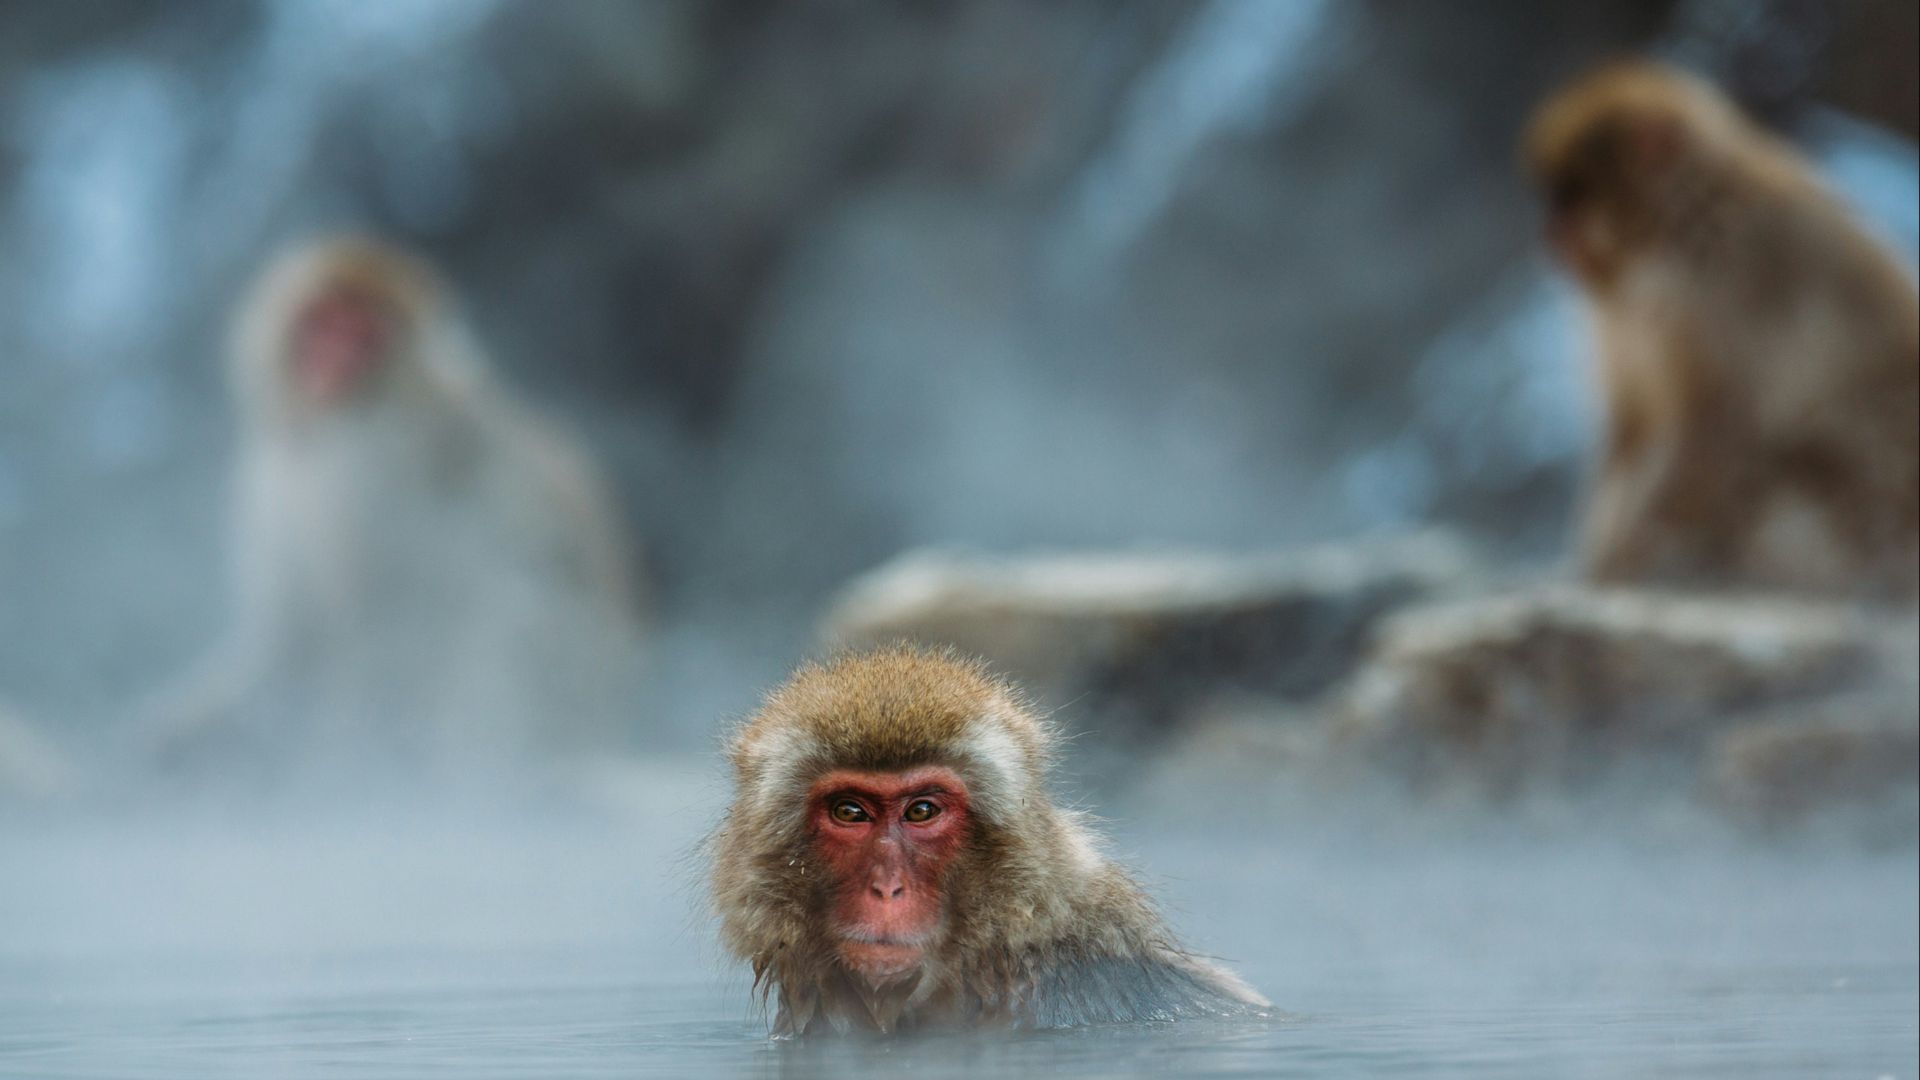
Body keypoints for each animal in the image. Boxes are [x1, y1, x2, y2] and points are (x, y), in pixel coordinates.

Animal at [137, 236, 644, 777]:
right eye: (323, 321)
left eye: (365, 335)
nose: (331, 364)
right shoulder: (271, 473)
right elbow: (293, 643)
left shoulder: (371, 470)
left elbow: (379, 624)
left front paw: (340, 758)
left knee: (506, 611)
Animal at [1523, 61, 1920, 598]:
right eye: (1556, 196)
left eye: (1573, 194)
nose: (1550, 231)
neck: (1676, 228)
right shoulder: (1622, 318)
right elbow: (1632, 429)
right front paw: (1598, 562)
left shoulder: (1727, 288)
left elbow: (1718, 430)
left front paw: (1622, 563)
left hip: (1866, 509)